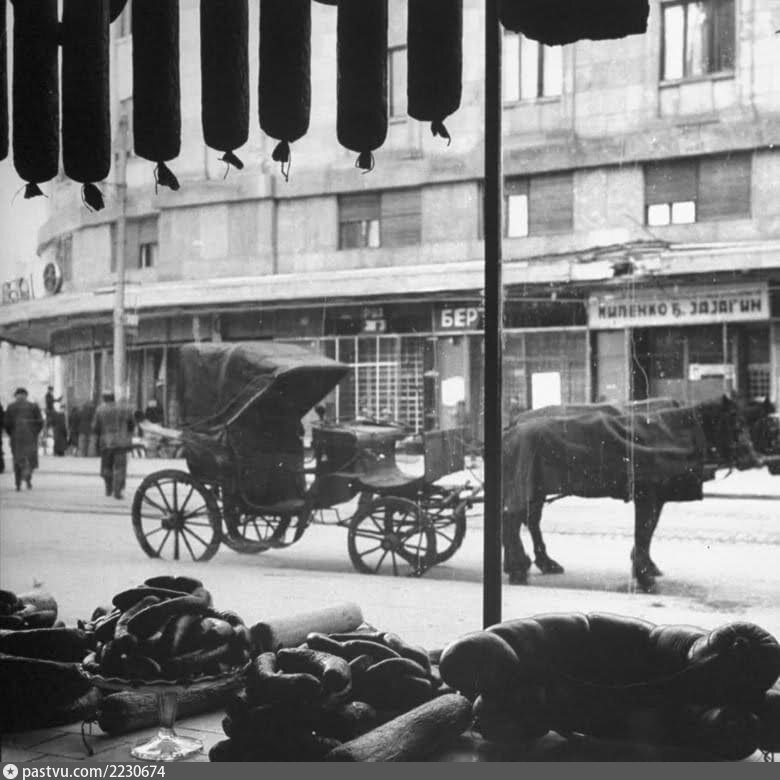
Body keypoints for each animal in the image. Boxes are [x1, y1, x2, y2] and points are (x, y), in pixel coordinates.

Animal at [501, 395, 763, 592]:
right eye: (736, 425)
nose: (755, 459)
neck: (670, 433)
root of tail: (513, 427)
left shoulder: (657, 496)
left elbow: (648, 532)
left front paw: (647, 566)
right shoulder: (647, 495)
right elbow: (643, 531)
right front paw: (644, 575)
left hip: (534, 491)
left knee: (522, 521)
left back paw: (529, 564)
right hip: (527, 486)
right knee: (516, 521)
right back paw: (520, 567)